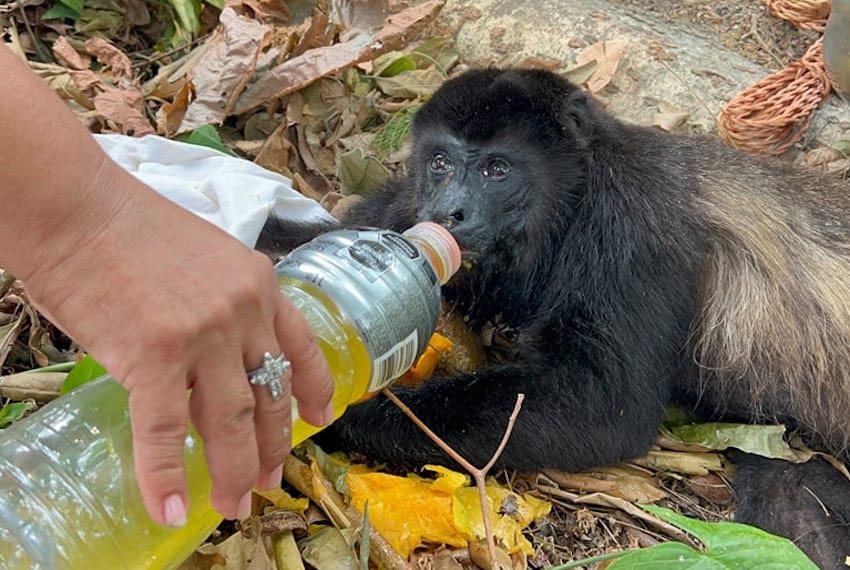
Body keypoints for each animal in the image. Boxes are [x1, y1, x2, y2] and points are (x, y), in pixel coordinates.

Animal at [256, 66, 848, 564]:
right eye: (441, 161)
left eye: (497, 169)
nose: (448, 211)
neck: (575, 195)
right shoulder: (415, 212)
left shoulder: (630, 226)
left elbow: (605, 405)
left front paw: (337, 411)